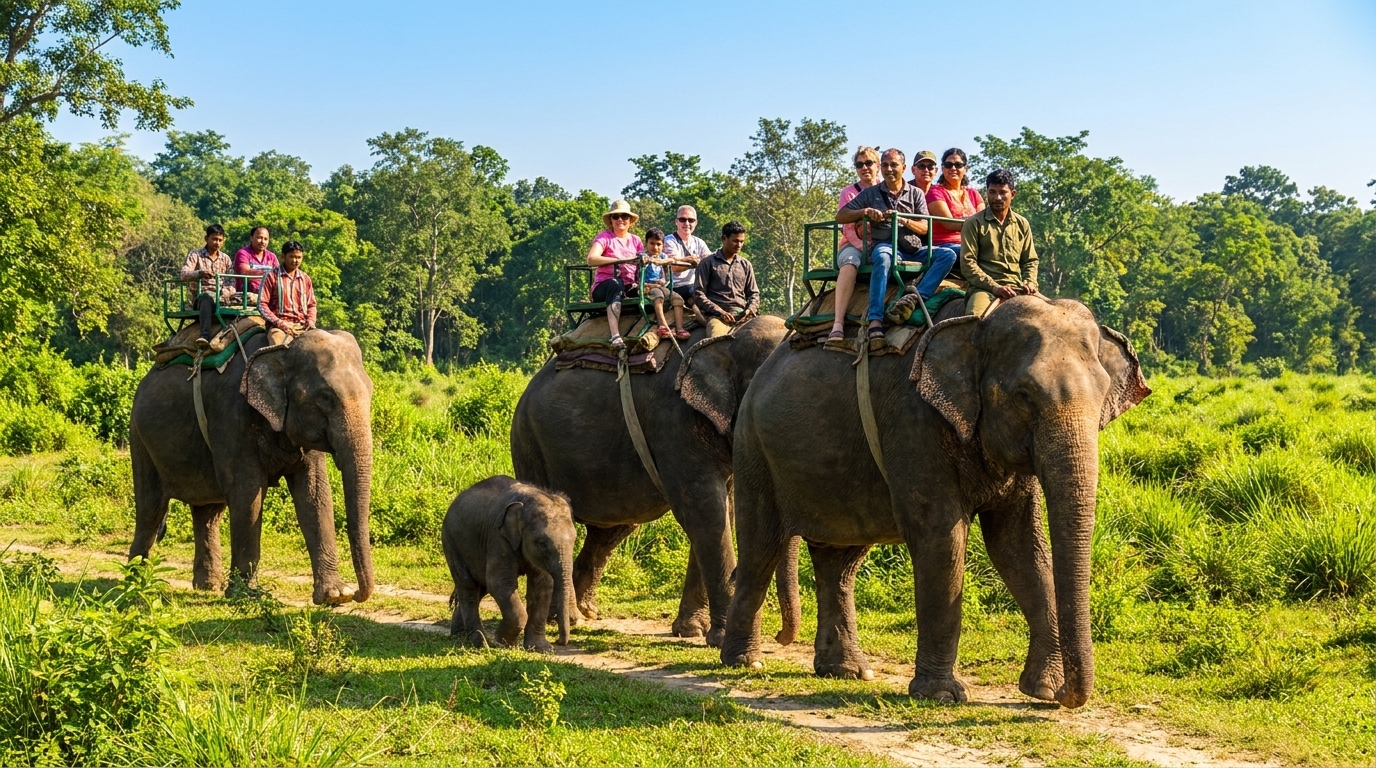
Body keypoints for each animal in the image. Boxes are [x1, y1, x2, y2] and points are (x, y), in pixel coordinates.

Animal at [128, 330, 375, 605]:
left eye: (371, 391)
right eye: (325, 397)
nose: (358, 594)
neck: (281, 349)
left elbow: (315, 494)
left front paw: (334, 596)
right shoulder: (232, 415)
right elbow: (248, 492)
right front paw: (246, 596)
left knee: (207, 513)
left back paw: (207, 587)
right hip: (139, 438)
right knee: (151, 508)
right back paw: (135, 584)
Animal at [441, 475, 576, 653]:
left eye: (574, 540)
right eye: (541, 543)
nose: (560, 642)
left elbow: (542, 586)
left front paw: (541, 648)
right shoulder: (498, 538)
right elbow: (500, 583)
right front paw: (503, 642)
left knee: (480, 586)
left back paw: (459, 634)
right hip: (451, 542)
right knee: (468, 586)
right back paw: (482, 643)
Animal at [511, 316, 789, 646]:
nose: (781, 637)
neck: (729, 337)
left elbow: (723, 511)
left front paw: (690, 630)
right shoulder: (674, 421)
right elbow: (705, 512)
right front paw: (718, 638)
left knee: (615, 527)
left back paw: (582, 613)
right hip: (530, 445)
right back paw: (569, 618)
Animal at [721, 296, 1150, 709]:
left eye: (1102, 395)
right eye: (1023, 396)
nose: (1068, 698)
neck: (979, 323)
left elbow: (1018, 547)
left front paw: (1042, 691)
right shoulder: (914, 420)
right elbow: (942, 538)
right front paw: (941, 696)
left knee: (840, 560)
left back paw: (847, 671)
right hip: (753, 449)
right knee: (761, 549)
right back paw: (745, 660)